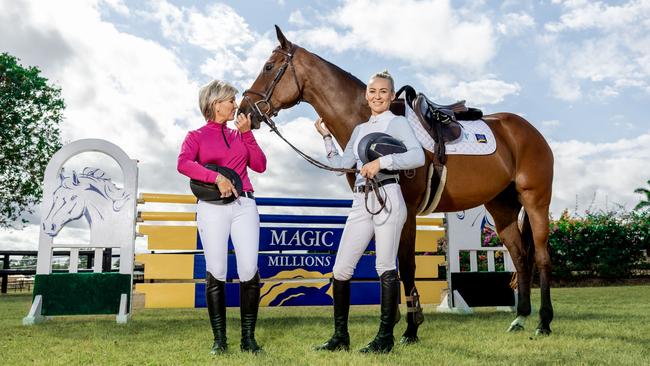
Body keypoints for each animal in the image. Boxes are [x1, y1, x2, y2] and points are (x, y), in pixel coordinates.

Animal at [238, 26, 552, 340]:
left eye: (269, 67)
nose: (244, 111)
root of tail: (529, 131)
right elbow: (388, 265)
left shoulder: (407, 212)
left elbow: (407, 265)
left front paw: (411, 328)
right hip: (501, 207)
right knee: (520, 256)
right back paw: (520, 317)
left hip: (535, 201)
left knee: (541, 255)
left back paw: (543, 322)